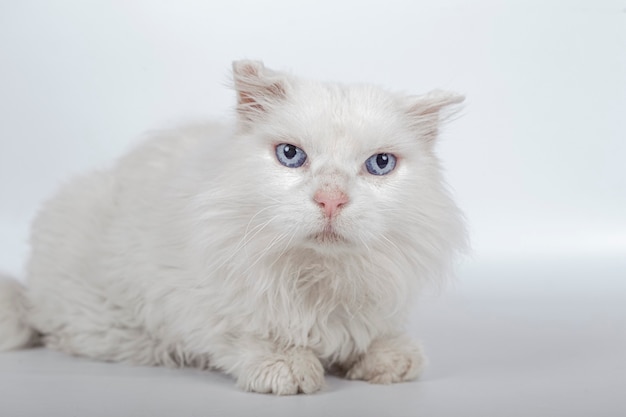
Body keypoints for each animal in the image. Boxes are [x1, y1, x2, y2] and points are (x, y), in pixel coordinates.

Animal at [0, 59, 464, 394]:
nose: (331, 199)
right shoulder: (192, 299)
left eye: (380, 164)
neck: (317, 276)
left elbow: (375, 334)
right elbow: (247, 334)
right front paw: (289, 367)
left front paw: (389, 358)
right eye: (291, 155)